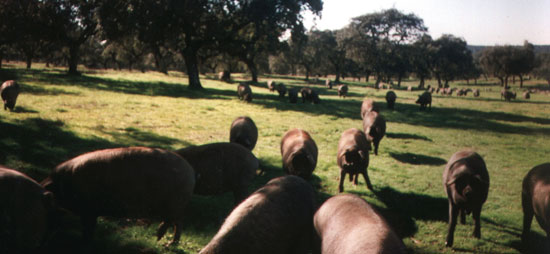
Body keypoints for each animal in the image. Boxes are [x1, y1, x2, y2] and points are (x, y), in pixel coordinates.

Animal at [41, 148, 196, 245]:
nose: (47, 238)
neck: (64, 184)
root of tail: (190, 171)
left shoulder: (89, 210)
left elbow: (88, 227)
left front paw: (85, 241)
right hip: (174, 204)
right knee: (176, 222)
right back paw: (164, 241)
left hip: (175, 203)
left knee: (175, 222)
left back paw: (163, 241)